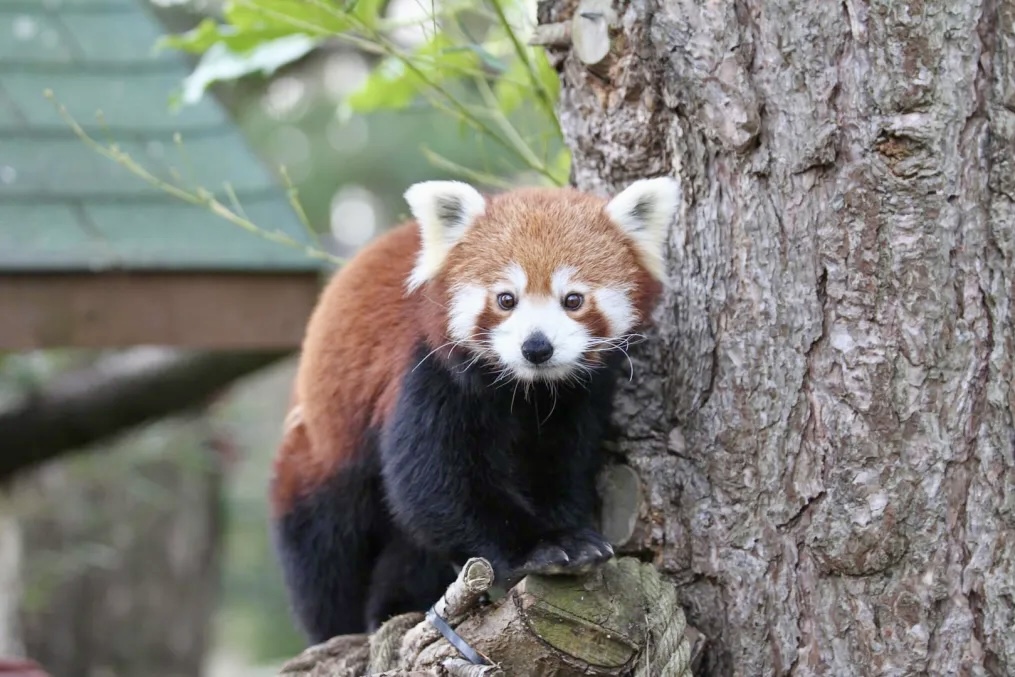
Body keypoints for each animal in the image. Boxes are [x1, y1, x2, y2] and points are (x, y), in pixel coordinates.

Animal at [274, 177, 678, 645]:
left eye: (573, 300)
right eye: (506, 299)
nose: (536, 347)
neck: (526, 390)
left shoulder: (576, 400)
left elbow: (559, 468)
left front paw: (571, 531)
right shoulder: (429, 372)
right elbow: (433, 485)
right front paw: (545, 545)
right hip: (321, 455)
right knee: (325, 548)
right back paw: (345, 625)